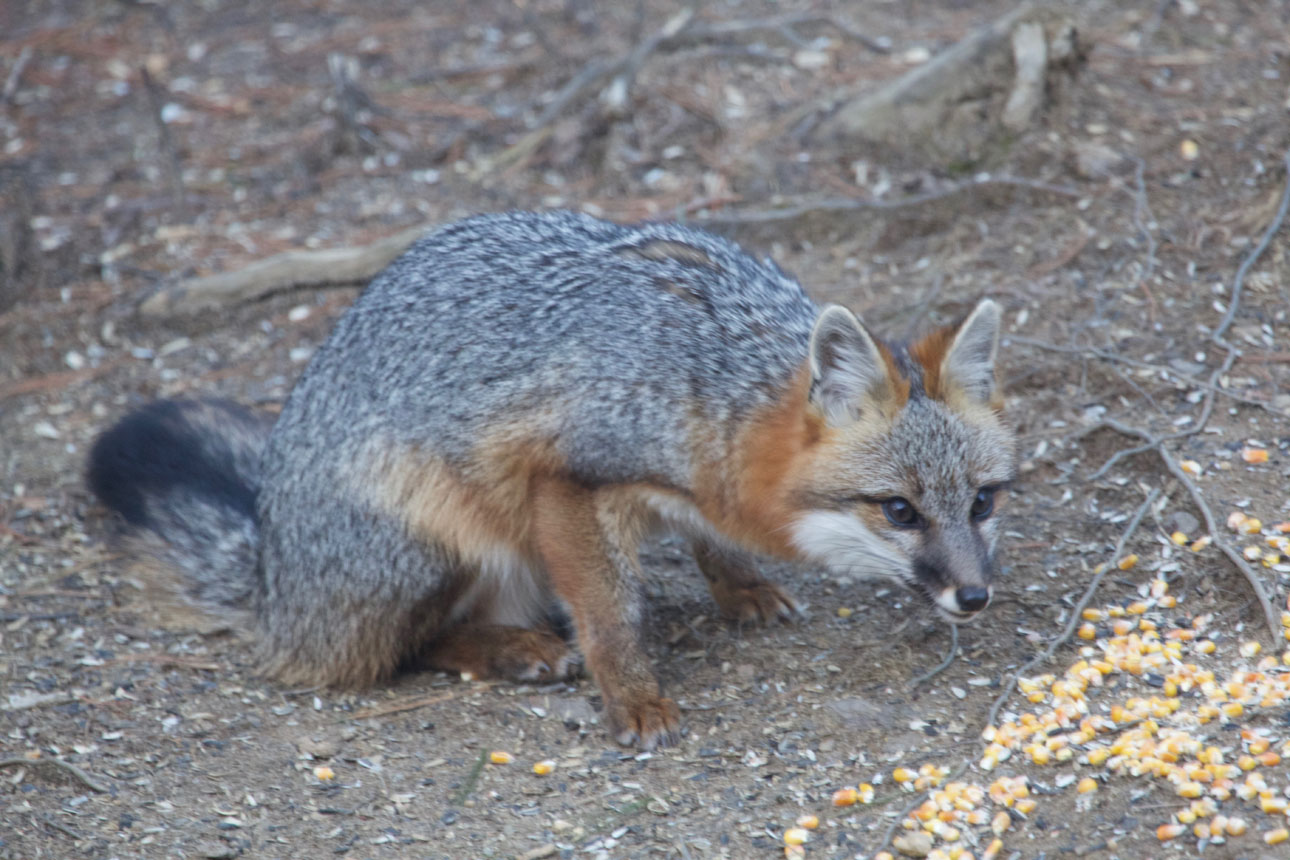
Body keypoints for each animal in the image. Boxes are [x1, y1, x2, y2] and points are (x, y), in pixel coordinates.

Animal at [87, 210, 1017, 749]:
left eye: (982, 501)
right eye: (899, 511)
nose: (976, 598)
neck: (706, 372)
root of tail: (272, 572)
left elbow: (705, 536)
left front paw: (741, 584)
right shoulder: (563, 481)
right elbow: (607, 613)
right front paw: (633, 696)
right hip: (435, 545)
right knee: (388, 654)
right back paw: (514, 648)